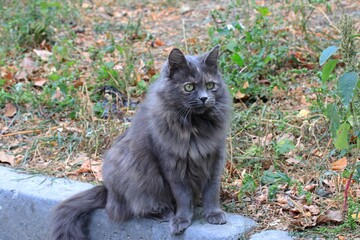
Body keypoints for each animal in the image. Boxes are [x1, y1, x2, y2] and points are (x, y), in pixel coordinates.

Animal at [50, 44, 231, 238]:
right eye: (189, 87)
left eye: (210, 85)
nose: (204, 98)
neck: (195, 126)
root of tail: (108, 190)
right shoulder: (172, 163)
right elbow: (182, 195)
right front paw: (181, 220)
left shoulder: (215, 157)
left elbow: (212, 191)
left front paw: (213, 214)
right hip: (134, 169)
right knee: (132, 207)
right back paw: (165, 213)